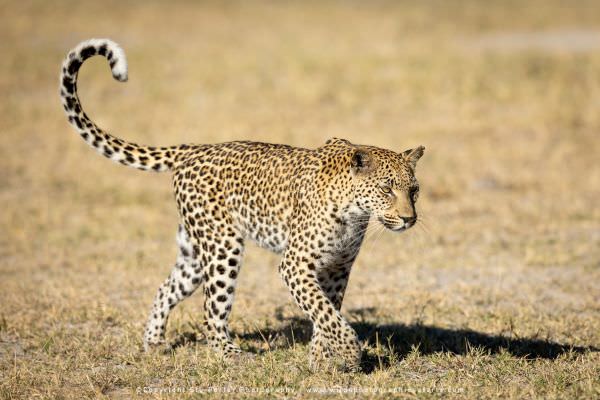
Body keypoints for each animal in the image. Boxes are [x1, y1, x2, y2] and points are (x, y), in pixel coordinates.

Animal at [59, 38, 426, 372]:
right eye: (387, 189)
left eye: (414, 190)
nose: (409, 219)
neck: (355, 214)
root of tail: (194, 149)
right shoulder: (295, 265)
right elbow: (326, 313)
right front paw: (349, 351)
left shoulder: (337, 268)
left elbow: (327, 314)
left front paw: (322, 360)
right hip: (223, 248)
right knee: (210, 313)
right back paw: (232, 356)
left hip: (195, 253)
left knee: (166, 288)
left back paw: (155, 343)